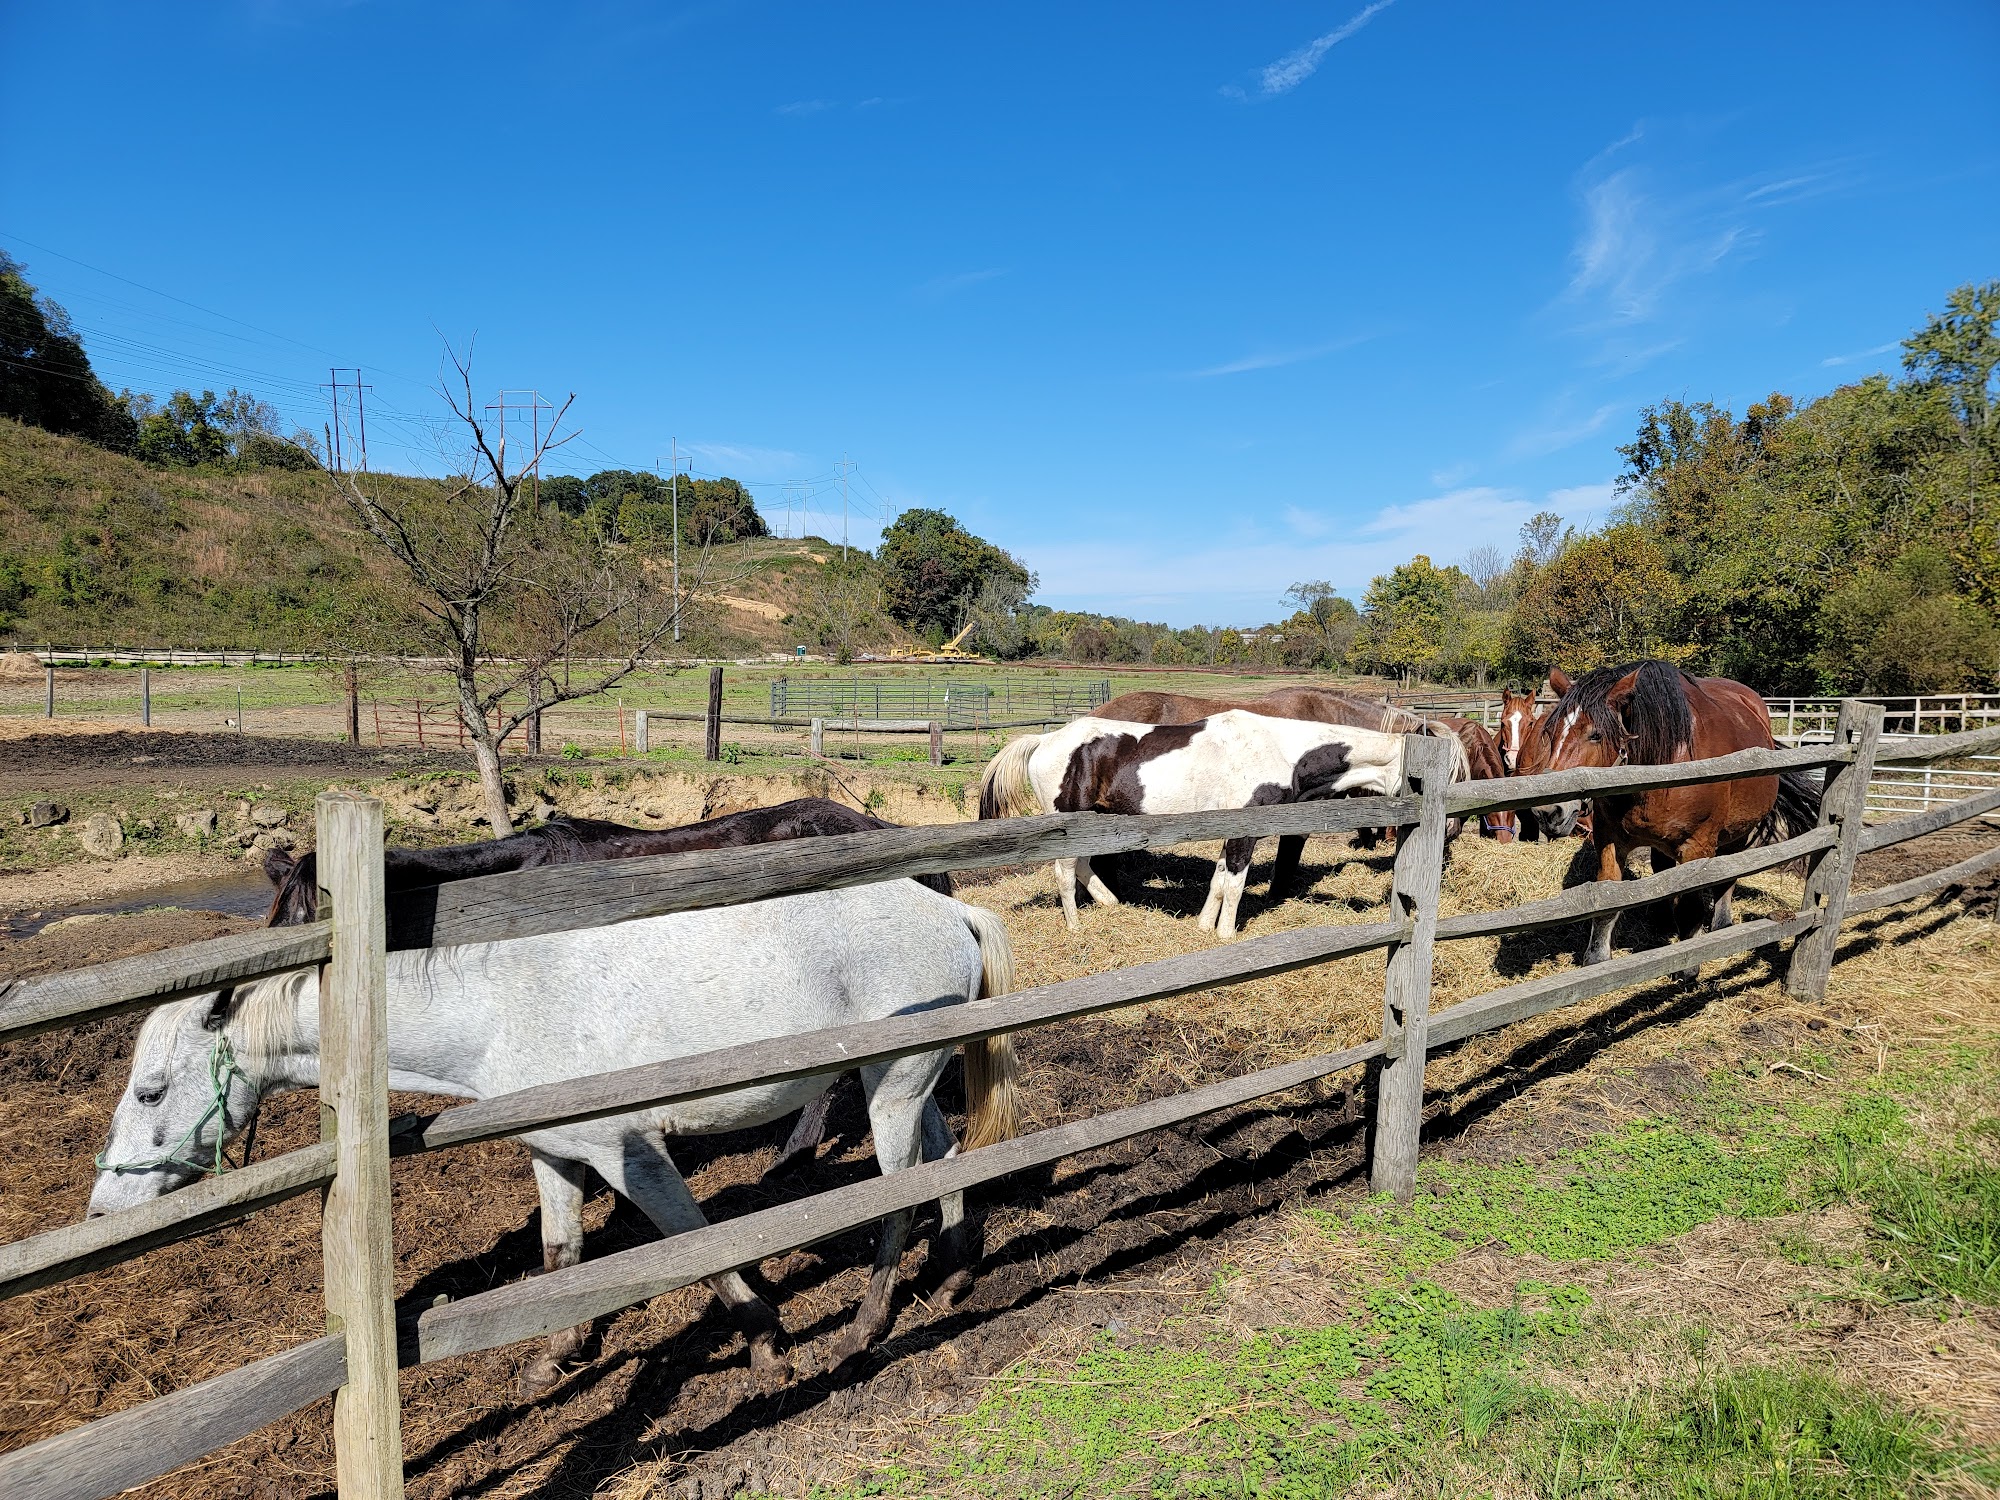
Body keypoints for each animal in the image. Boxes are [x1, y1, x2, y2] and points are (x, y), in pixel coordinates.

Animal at [86, 880, 1016, 1400]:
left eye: (151, 1089)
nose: (101, 1206)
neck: (501, 1009)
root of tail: (951, 908)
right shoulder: (556, 1155)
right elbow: (562, 1256)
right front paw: (550, 1361)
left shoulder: (627, 1153)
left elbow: (697, 1246)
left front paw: (764, 1347)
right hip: (906, 1085)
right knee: (945, 1158)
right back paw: (955, 1268)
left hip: (891, 1090)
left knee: (896, 1195)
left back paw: (868, 1324)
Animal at [968, 708, 1456, 940]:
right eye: (1446, 771)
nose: (1451, 830)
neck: (1282, 751)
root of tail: (1045, 740)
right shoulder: (1244, 831)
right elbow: (1235, 885)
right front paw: (1225, 934)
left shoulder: (1228, 832)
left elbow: (1220, 879)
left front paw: (1204, 927)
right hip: (1066, 823)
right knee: (1065, 871)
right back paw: (1074, 926)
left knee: (1085, 867)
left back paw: (1113, 905)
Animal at [1528, 664, 1816, 968]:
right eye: (1550, 732)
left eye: (1595, 734)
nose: (1547, 811)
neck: (1663, 766)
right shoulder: (1609, 839)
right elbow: (1607, 900)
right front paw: (1597, 959)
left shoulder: (1697, 847)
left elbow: (1691, 908)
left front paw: (1688, 967)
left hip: (1738, 832)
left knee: (1726, 877)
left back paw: (1721, 923)